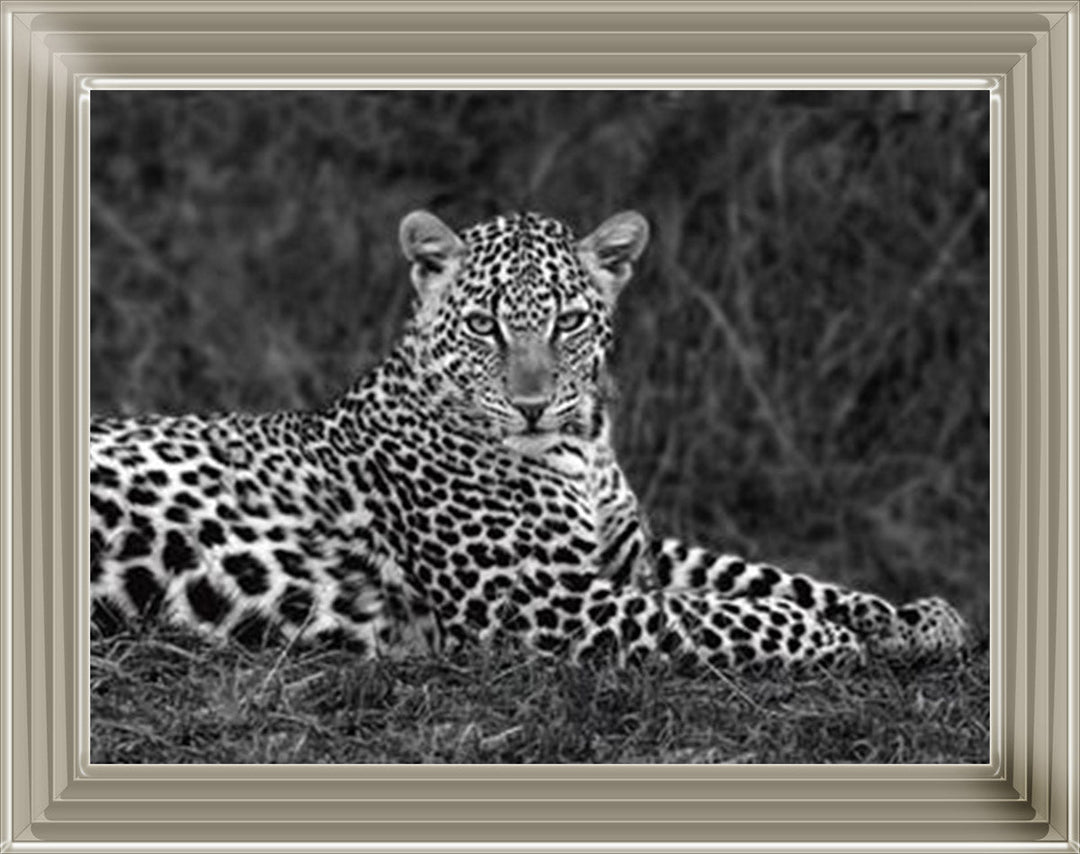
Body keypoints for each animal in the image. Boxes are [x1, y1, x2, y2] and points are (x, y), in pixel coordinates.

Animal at [90, 209, 971, 673]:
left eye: (568, 321)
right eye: (485, 325)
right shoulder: (536, 600)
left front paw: (910, 617)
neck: (584, 447)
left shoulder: (631, 555)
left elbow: (759, 576)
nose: (533, 406)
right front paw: (835, 637)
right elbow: (716, 616)